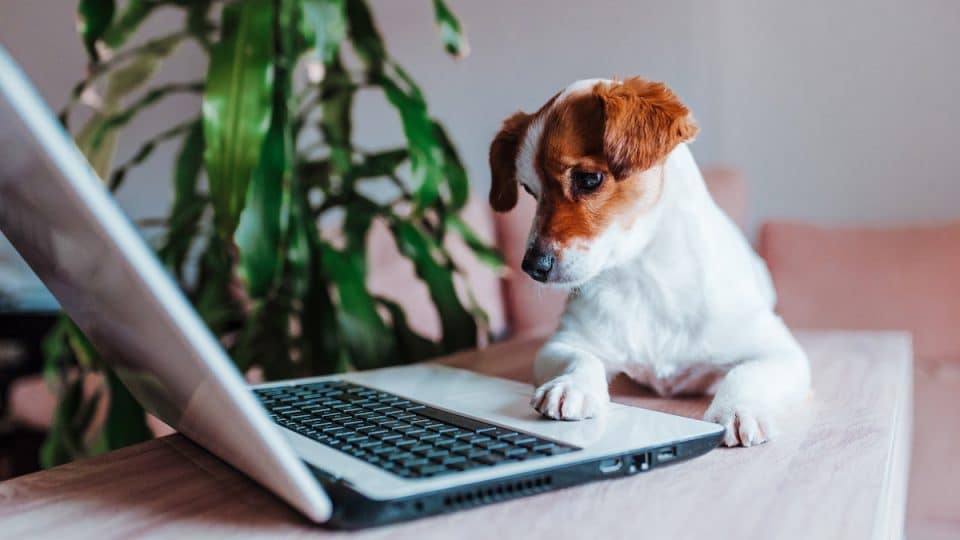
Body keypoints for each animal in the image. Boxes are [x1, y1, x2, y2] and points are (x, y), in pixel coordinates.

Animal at [488, 77, 808, 448]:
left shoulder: (781, 353)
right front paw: (572, 385)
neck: (645, 275)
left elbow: (746, 372)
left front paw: (738, 407)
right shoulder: (563, 343)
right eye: (529, 191)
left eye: (588, 179)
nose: (532, 265)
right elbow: (579, 358)